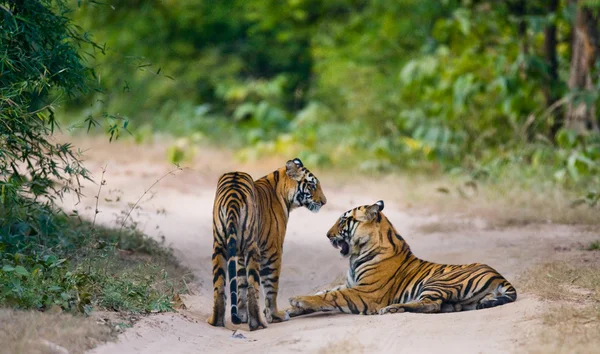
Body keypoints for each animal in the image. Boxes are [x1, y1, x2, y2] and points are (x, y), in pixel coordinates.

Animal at [207, 156, 328, 330]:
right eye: (312, 186)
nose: (324, 202)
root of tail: (233, 194)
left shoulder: (240, 255)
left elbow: (241, 284)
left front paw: (241, 316)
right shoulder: (273, 250)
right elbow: (271, 287)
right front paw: (275, 315)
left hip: (219, 246)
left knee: (219, 285)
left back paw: (215, 321)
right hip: (252, 248)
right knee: (254, 287)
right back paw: (258, 324)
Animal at [286, 201, 516, 316]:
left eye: (343, 220)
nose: (327, 235)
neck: (356, 256)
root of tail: (498, 275)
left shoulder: (367, 293)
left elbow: (330, 296)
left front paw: (297, 300)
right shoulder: (350, 284)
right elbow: (323, 292)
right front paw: (292, 309)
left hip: (437, 281)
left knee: (431, 305)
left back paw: (391, 309)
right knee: (438, 305)